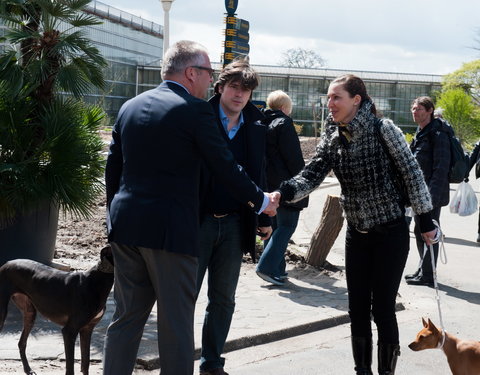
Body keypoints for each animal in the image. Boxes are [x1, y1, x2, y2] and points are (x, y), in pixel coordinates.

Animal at [0, 245, 114, 374]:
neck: (96, 281)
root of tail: (5, 264)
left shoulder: (87, 329)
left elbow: (86, 363)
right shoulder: (69, 331)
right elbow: (70, 368)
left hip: (30, 313)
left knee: (21, 343)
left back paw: (28, 369)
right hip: (2, 313)